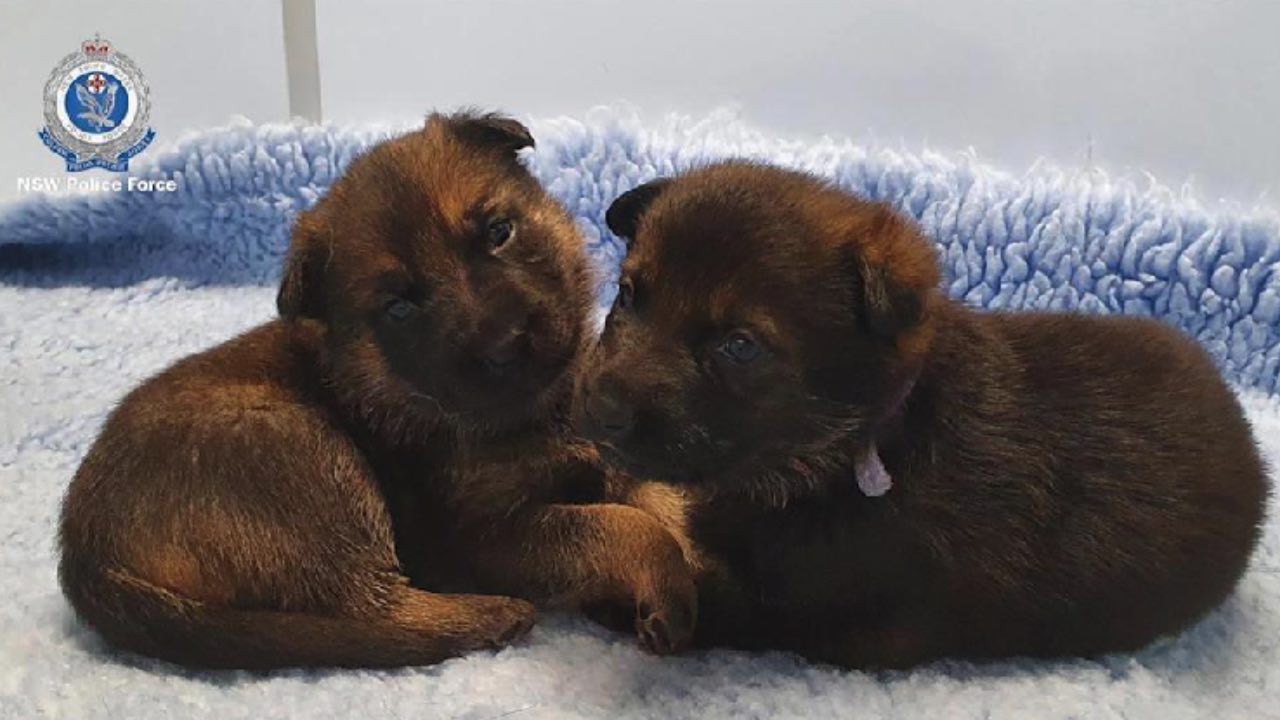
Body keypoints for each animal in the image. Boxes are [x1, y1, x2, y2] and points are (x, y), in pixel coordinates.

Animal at [61, 112, 696, 666]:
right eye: (398, 307)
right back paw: (492, 615)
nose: (508, 342)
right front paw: (668, 577)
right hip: (307, 456)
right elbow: (618, 526)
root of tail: (84, 555)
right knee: (369, 610)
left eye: (500, 232)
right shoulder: (483, 534)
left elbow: (647, 493)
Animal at [578, 159, 1269, 666]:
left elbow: (711, 595)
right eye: (629, 296)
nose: (597, 410)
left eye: (739, 346)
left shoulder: (810, 604)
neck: (857, 442)